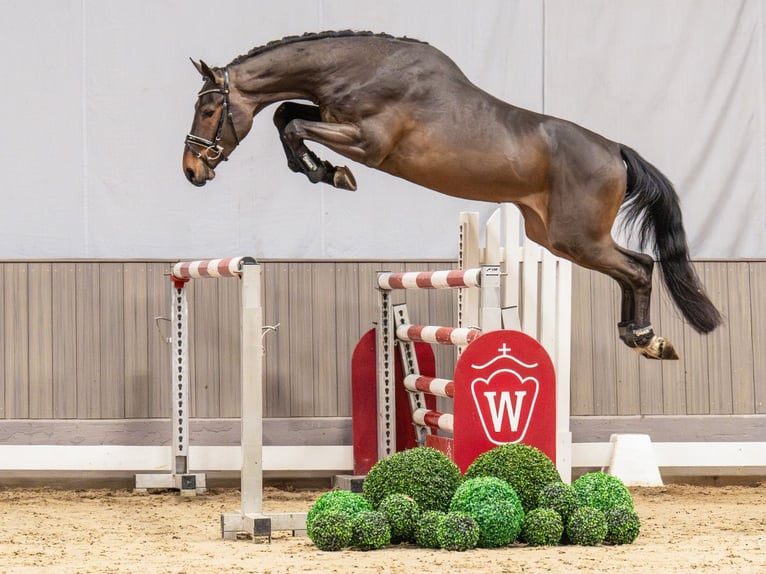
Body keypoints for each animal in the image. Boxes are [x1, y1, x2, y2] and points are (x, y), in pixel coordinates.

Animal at [182, 31, 722, 360]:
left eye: (208, 111)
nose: (191, 171)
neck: (360, 70)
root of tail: (615, 151)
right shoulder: (331, 117)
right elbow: (285, 115)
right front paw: (321, 169)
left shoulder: (368, 142)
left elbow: (293, 124)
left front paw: (331, 173)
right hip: (551, 235)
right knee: (636, 266)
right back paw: (639, 337)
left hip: (577, 238)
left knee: (639, 266)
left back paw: (646, 339)